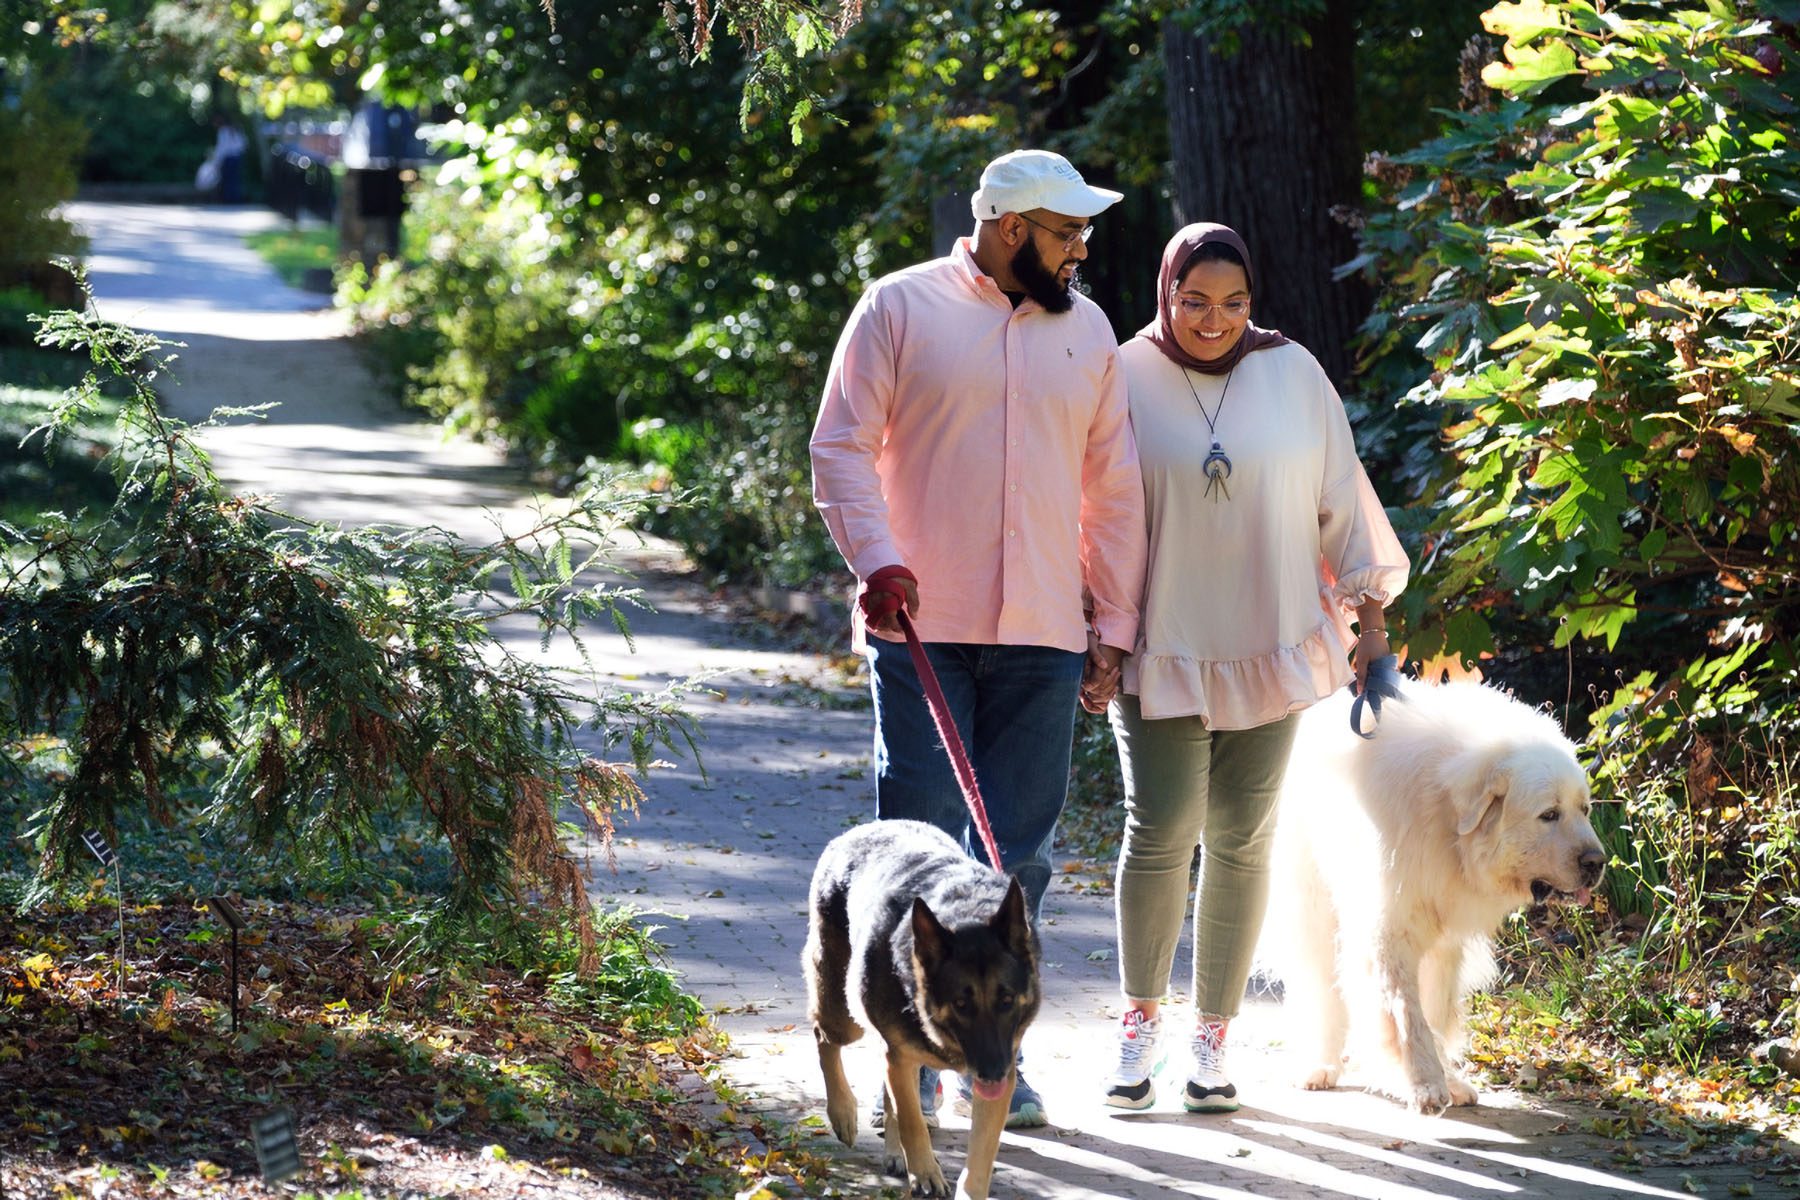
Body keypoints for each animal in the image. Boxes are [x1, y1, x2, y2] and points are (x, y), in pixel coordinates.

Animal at [806, 820, 1044, 1194]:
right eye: (961, 1004)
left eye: (1006, 1000)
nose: (993, 1073)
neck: (964, 913)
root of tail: (860, 830)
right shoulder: (901, 1058)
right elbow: (912, 1121)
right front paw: (926, 1172)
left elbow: (981, 1153)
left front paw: (969, 1190)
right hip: (846, 1017)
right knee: (823, 1037)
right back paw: (842, 1111)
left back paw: (893, 1152)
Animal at [1267, 680, 1605, 1115]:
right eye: (1549, 814)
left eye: (1585, 810)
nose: (1597, 862)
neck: (1447, 824)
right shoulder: (1390, 929)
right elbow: (1406, 1014)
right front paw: (1424, 1084)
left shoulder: (1446, 942)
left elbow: (1434, 1010)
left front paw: (1448, 1079)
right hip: (1313, 902)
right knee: (1322, 985)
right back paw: (1320, 1065)